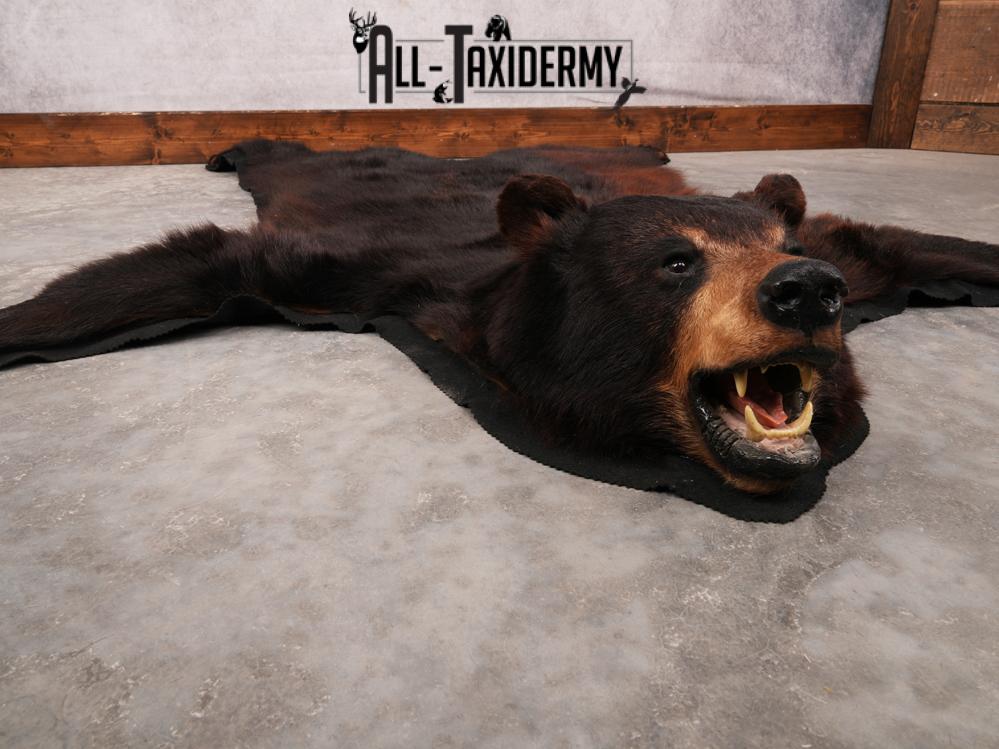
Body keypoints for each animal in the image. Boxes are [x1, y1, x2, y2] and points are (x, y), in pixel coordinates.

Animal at [1, 141, 997, 497]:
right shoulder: (376, 278)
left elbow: (889, 243)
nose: (802, 290)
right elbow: (210, 257)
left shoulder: (845, 253)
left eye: (773, 240)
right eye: (676, 262)